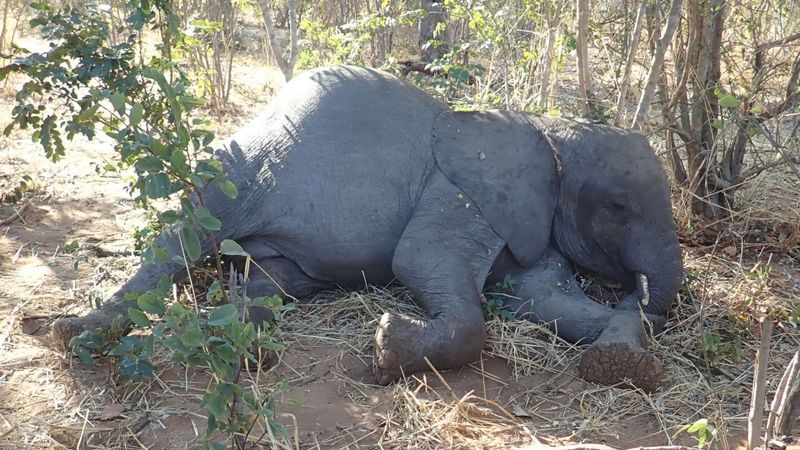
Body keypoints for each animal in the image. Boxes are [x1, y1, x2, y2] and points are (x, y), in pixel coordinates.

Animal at [54, 65, 680, 392]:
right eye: (619, 207)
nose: (636, 289)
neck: (548, 133)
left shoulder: (526, 219)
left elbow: (541, 297)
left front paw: (620, 363)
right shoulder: (461, 190)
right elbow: (419, 259)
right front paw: (384, 349)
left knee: (269, 281)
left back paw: (243, 341)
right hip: (231, 174)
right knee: (177, 245)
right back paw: (78, 334)